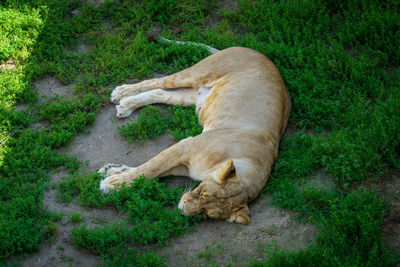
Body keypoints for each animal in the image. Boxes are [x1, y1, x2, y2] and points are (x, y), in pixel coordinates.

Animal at [97, 46, 290, 226]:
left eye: (207, 214)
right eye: (203, 192)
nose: (182, 208)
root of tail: (255, 51)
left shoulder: (187, 165)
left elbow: (150, 172)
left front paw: (112, 171)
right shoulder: (186, 146)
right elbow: (149, 169)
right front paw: (112, 184)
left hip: (192, 96)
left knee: (160, 92)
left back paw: (126, 105)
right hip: (195, 74)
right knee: (157, 81)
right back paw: (121, 93)